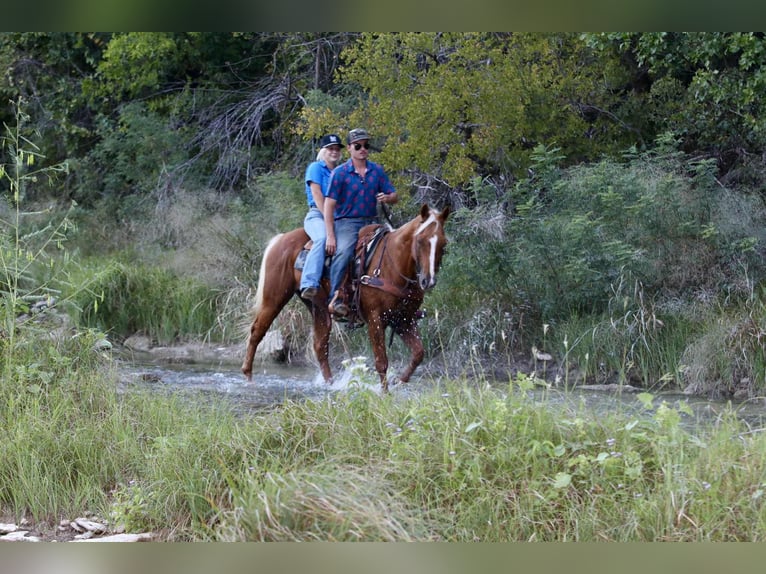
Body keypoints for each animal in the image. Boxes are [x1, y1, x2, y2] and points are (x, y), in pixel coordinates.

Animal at [241, 203, 450, 392]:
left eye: (443, 243)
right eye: (420, 240)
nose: (428, 281)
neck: (393, 264)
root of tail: (281, 239)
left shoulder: (403, 320)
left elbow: (418, 353)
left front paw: (398, 381)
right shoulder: (375, 319)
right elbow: (381, 361)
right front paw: (384, 393)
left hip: (318, 307)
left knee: (320, 346)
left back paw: (330, 384)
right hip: (274, 298)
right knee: (257, 332)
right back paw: (248, 376)